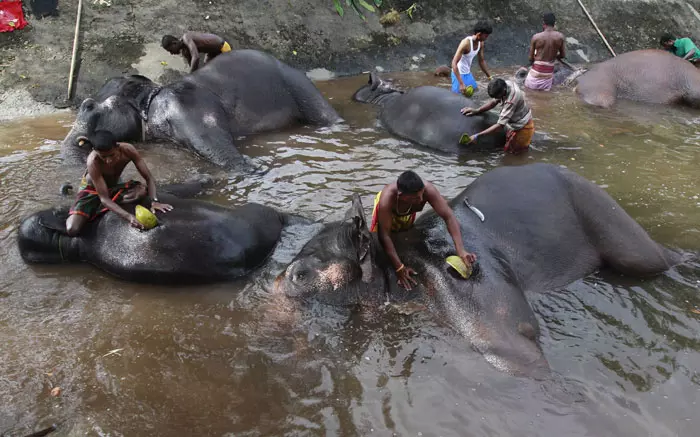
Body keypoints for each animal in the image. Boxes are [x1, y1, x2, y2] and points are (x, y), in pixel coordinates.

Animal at [61, 49, 340, 168]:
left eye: (88, 106)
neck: (150, 98)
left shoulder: (186, 111)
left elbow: (218, 148)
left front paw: (251, 169)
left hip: (299, 86)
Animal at [276, 162, 680, 376]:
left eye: (301, 275)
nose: (281, 284)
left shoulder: (469, 298)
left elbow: (512, 353)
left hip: (598, 207)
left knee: (649, 260)